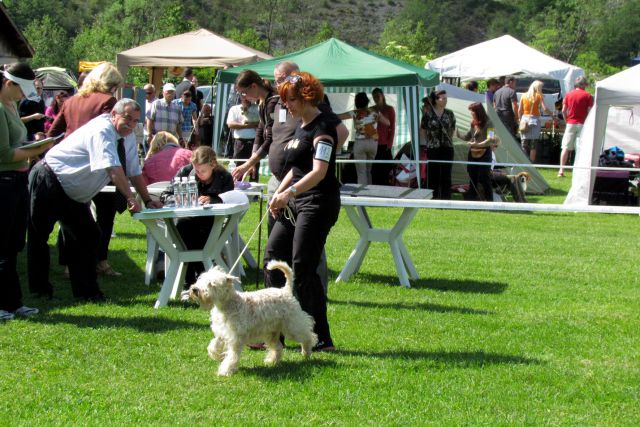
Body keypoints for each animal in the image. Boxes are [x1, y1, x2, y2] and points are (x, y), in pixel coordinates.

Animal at [185, 260, 318, 376]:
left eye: (211, 284)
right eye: (200, 279)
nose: (194, 289)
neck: (227, 305)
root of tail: (286, 290)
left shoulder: (235, 338)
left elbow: (232, 355)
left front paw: (225, 370)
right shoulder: (222, 333)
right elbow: (213, 345)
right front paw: (216, 355)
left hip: (292, 326)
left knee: (308, 336)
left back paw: (306, 352)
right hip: (271, 333)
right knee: (278, 347)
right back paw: (271, 361)